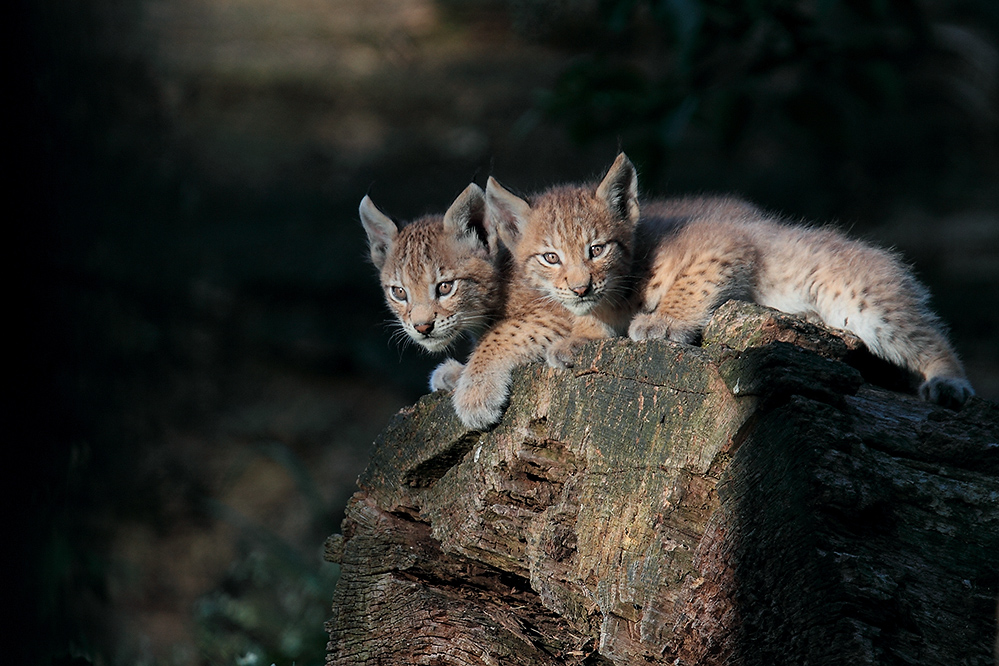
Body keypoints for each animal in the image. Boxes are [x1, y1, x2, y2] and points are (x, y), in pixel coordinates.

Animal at [488, 153, 972, 408]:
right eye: (551, 258)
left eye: (597, 249)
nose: (580, 287)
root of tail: (886, 257)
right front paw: (579, 337)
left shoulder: (726, 243)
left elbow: (689, 286)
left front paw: (664, 321)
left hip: (865, 304)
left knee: (930, 337)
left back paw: (949, 384)